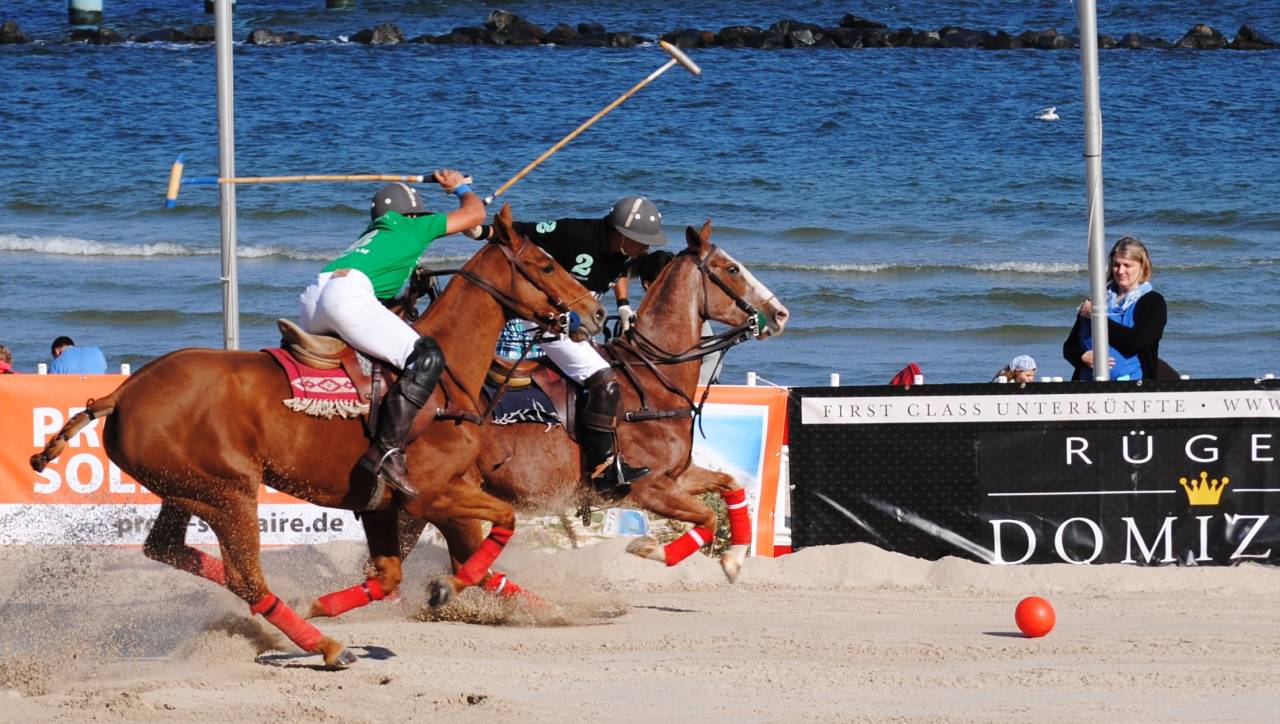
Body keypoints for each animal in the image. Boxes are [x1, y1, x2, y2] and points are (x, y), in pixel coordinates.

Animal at [29, 205, 604, 668]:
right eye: (547, 265)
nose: (595, 313)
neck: (450, 379)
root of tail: (121, 393)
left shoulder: (380, 505)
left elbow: (390, 575)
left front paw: (327, 601)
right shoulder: (431, 493)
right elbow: (502, 521)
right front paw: (445, 588)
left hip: (185, 489)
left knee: (171, 551)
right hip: (229, 493)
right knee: (246, 578)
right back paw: (323, 645)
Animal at [305, 219, 788, 614]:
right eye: (731, 270)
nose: (780, 313)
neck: (653, 379)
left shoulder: (678, 476)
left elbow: (730, 488)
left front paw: (733, 560)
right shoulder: (649, 487)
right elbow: (705, 518)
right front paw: (650, 550)